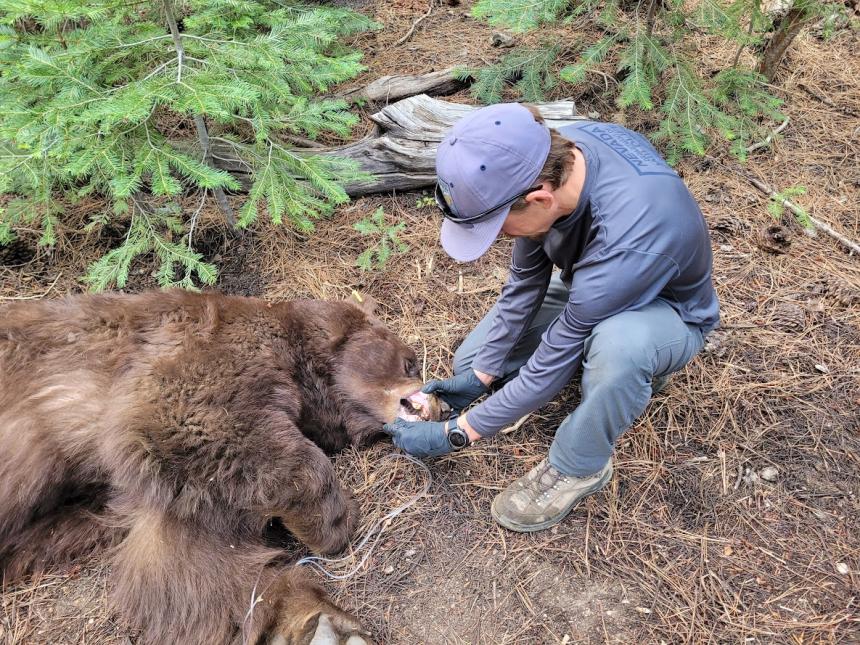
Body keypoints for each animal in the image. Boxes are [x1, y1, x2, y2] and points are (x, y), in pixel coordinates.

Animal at [0, 290, 440, 640]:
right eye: (410, 361)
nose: (437, 402)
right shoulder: (206, 365)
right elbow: (217, 428)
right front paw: (338, 519)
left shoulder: (165, 489)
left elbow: (190, 566)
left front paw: (313, 624)